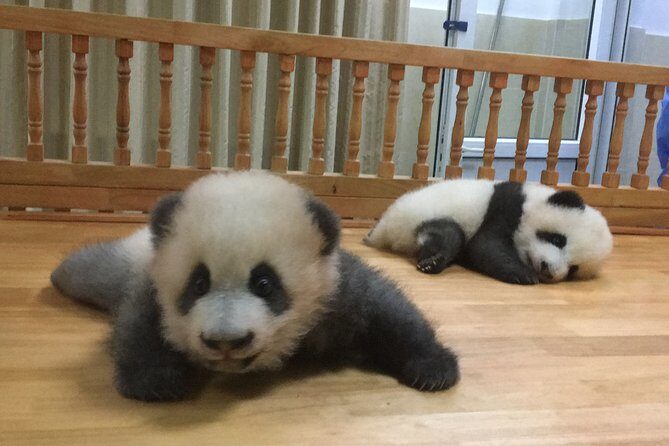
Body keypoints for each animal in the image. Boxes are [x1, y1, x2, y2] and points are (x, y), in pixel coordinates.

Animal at [50, 172, 459, 401]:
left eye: (264, 283)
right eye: (198, 283)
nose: (226, 341)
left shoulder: (333, 290)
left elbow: (387, 310)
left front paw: (434, 369)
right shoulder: (153, 286)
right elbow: (140, 325)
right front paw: (155, 381)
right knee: (89, 269)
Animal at [364, 179, 613, 285]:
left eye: (574, 269)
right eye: (558, 239)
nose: (548, 270)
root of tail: (382, 231)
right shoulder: (507, 207)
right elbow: (486, 245)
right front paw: (523, 275)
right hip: (422, 213)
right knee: (448, 235)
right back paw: (433, 260)